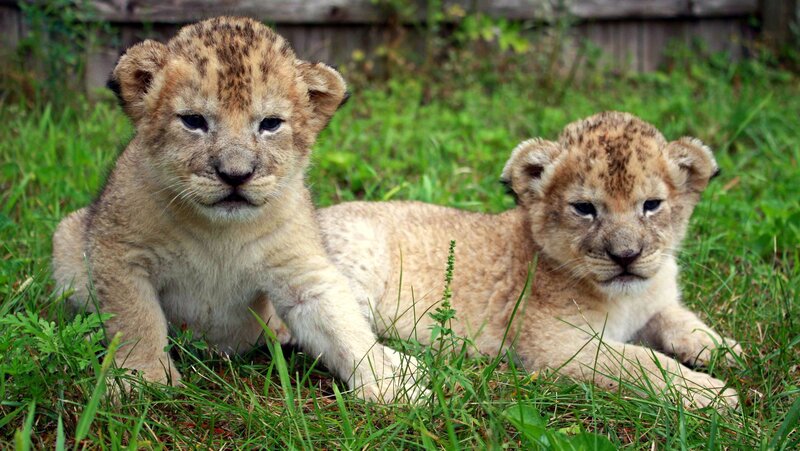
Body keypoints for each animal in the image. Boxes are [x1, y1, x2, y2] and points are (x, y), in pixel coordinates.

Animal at [51, 17, 421, 402]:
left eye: (270, 123)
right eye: (193, 121)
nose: (235, 174)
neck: (220, 232)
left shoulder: (300, 269)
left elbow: (345, 327)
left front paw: (392, 385)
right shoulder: (120, 252)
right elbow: (137, 320)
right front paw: (143, 380)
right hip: (67, 240)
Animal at [281, 111, 741, 408]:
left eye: (652, 205)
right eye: (584, 209)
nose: (626, 256)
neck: (625, 297)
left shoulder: (656, 303)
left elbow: (680, 319)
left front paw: (721, 348)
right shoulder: (558, 345)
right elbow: (641, 363)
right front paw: (709, 393)